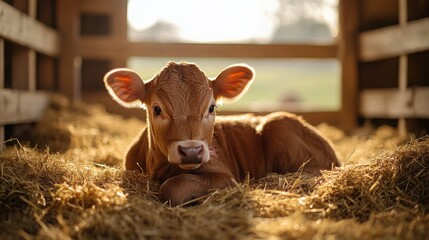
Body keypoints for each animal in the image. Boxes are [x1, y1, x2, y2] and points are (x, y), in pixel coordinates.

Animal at [103, 61, 338, 205]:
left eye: (212, 108)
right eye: (157, 109)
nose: (191, 151)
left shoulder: (226, 177)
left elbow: (173, 186)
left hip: (279, 123)